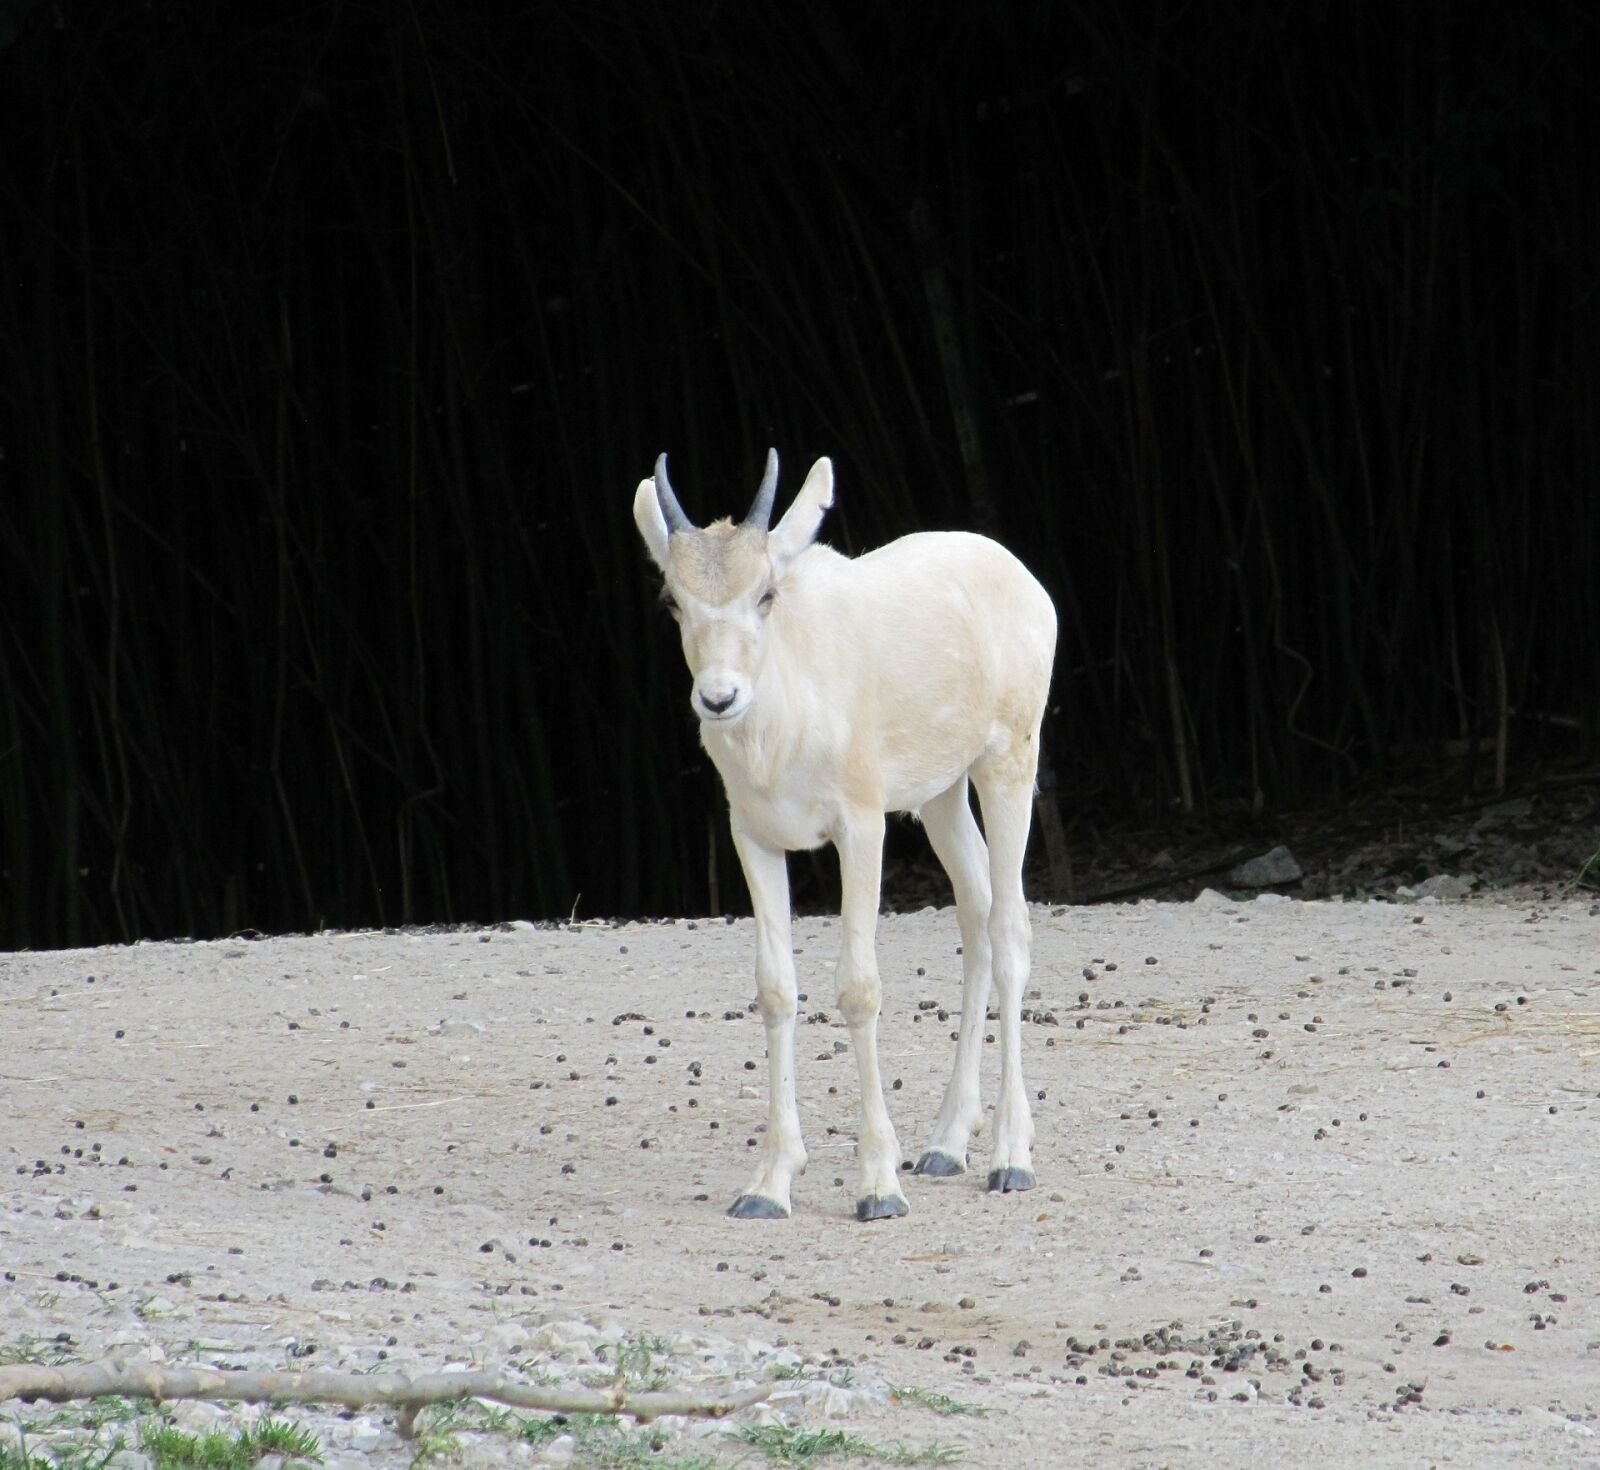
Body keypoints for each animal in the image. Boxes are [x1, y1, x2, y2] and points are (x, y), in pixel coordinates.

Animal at [633, 449, 1056, 1221]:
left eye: (766, 593)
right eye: (673, 600)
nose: (719, 698)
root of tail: (1018, 577)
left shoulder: (861, 829)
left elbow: (859, 989)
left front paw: (878, 1185)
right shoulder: (755, 838)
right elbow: (776, 990)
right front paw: (769, 1184)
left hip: (1008, 763)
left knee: (1010, 926)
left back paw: (1011, 1157)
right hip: (941, 796)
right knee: (977, 912)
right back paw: (945, 1143)